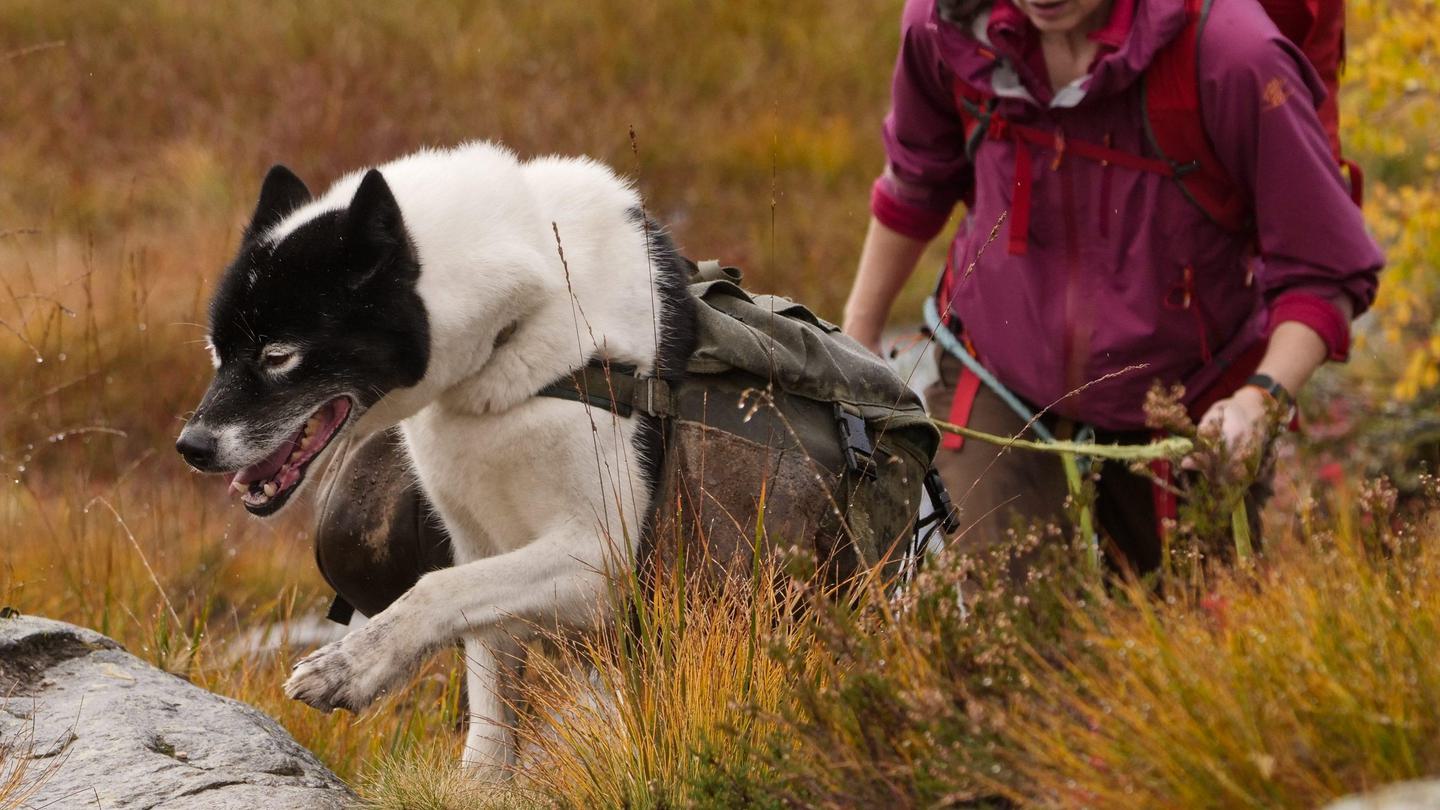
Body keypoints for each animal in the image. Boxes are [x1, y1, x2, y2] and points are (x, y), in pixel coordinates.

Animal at [175, 141, 696, 772]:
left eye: (278, 356)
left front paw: (347, 667)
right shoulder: (483, 550)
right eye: (217, 352)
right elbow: (489, 702)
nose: (191, 448)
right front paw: (479, 780)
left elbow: (436, 589)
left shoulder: (601, 560)